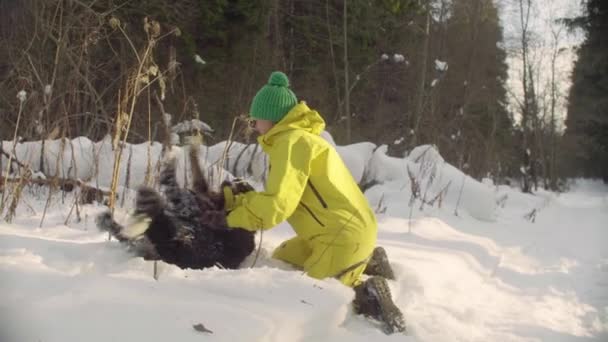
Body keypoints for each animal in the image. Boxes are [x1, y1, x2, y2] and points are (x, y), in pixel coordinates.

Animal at [97, 148, 256, 272]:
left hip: (188, 243)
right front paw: (193, 152)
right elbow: (199, 181)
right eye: (239, 183)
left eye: (241, 187)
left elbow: (188, 192)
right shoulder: (205, 198)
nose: (232, 180)